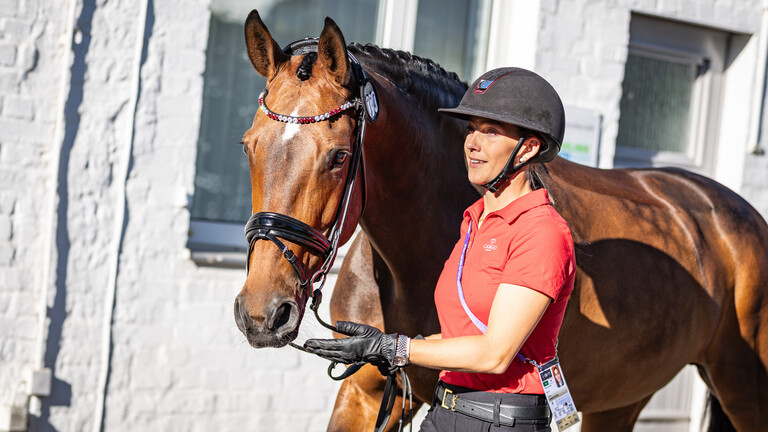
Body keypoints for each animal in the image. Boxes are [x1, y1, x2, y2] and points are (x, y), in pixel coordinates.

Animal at [233, 11, 768, 432]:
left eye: (339, 156)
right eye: (248, 145)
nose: (261, 313)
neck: (410, 267)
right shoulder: (364, 396)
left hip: (744, 389)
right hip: (622, 396)